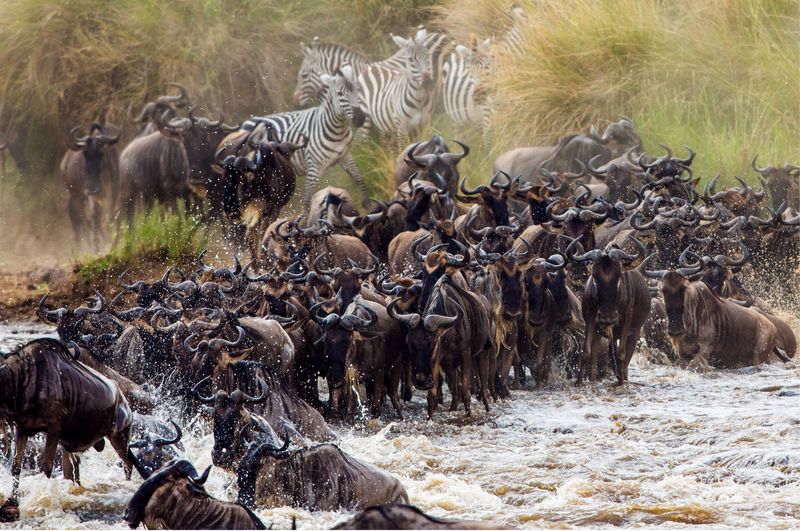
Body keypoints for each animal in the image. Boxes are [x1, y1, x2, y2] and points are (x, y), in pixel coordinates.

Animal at [244, 64, 368, 208]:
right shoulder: (313, 167)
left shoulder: (345, 156)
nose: (360, 118)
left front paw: (366, 204)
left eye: (357, 90)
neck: (337, 130)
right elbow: (308, 201)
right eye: (340, 94)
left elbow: (359, 177)